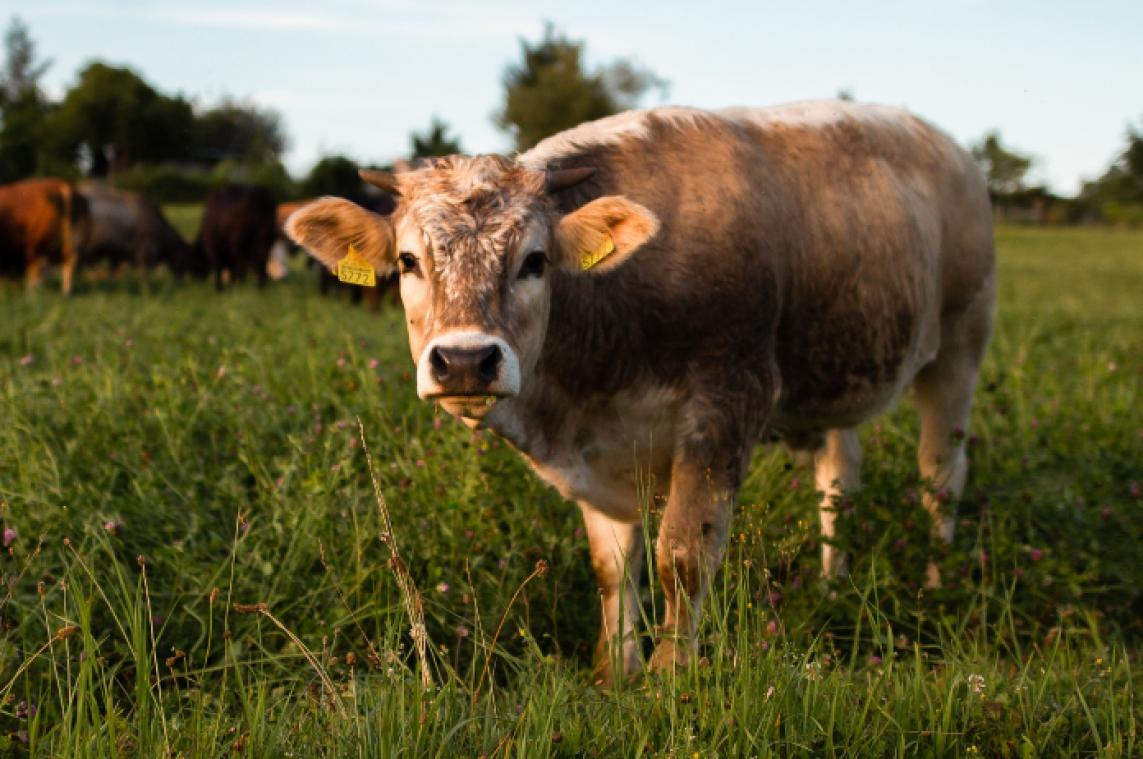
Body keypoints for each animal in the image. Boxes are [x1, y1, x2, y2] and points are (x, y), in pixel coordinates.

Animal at [283, 100, 992, 681]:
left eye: (535, 261)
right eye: (408, 262)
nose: (463, 360)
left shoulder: (727, 400)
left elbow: (682, 554)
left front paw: (669, 677)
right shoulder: (598, 455)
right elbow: (612, 566)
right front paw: (615, 671)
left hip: (960, 347)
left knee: (941, 473)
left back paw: (939, 583)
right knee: (840, 476)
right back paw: (833, 584)